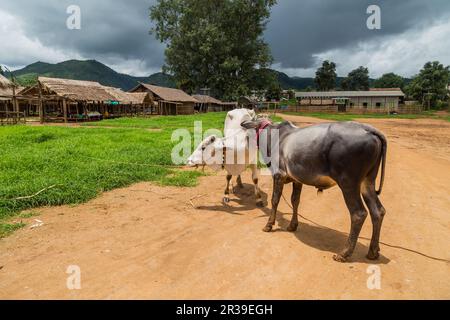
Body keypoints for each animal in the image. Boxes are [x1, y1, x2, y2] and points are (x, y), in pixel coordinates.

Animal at [243, 120, 386, 262]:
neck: (275, 137)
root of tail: (367, 129)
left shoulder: (279, 175)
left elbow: (275, 200)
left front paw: (269, 225)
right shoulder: (297, 180)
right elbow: (295, 201)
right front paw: (292, 225)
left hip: (348, 184)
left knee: (358, 214)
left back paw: (344, 253)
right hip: (367, 182)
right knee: (378, 211)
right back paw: (373, 251)